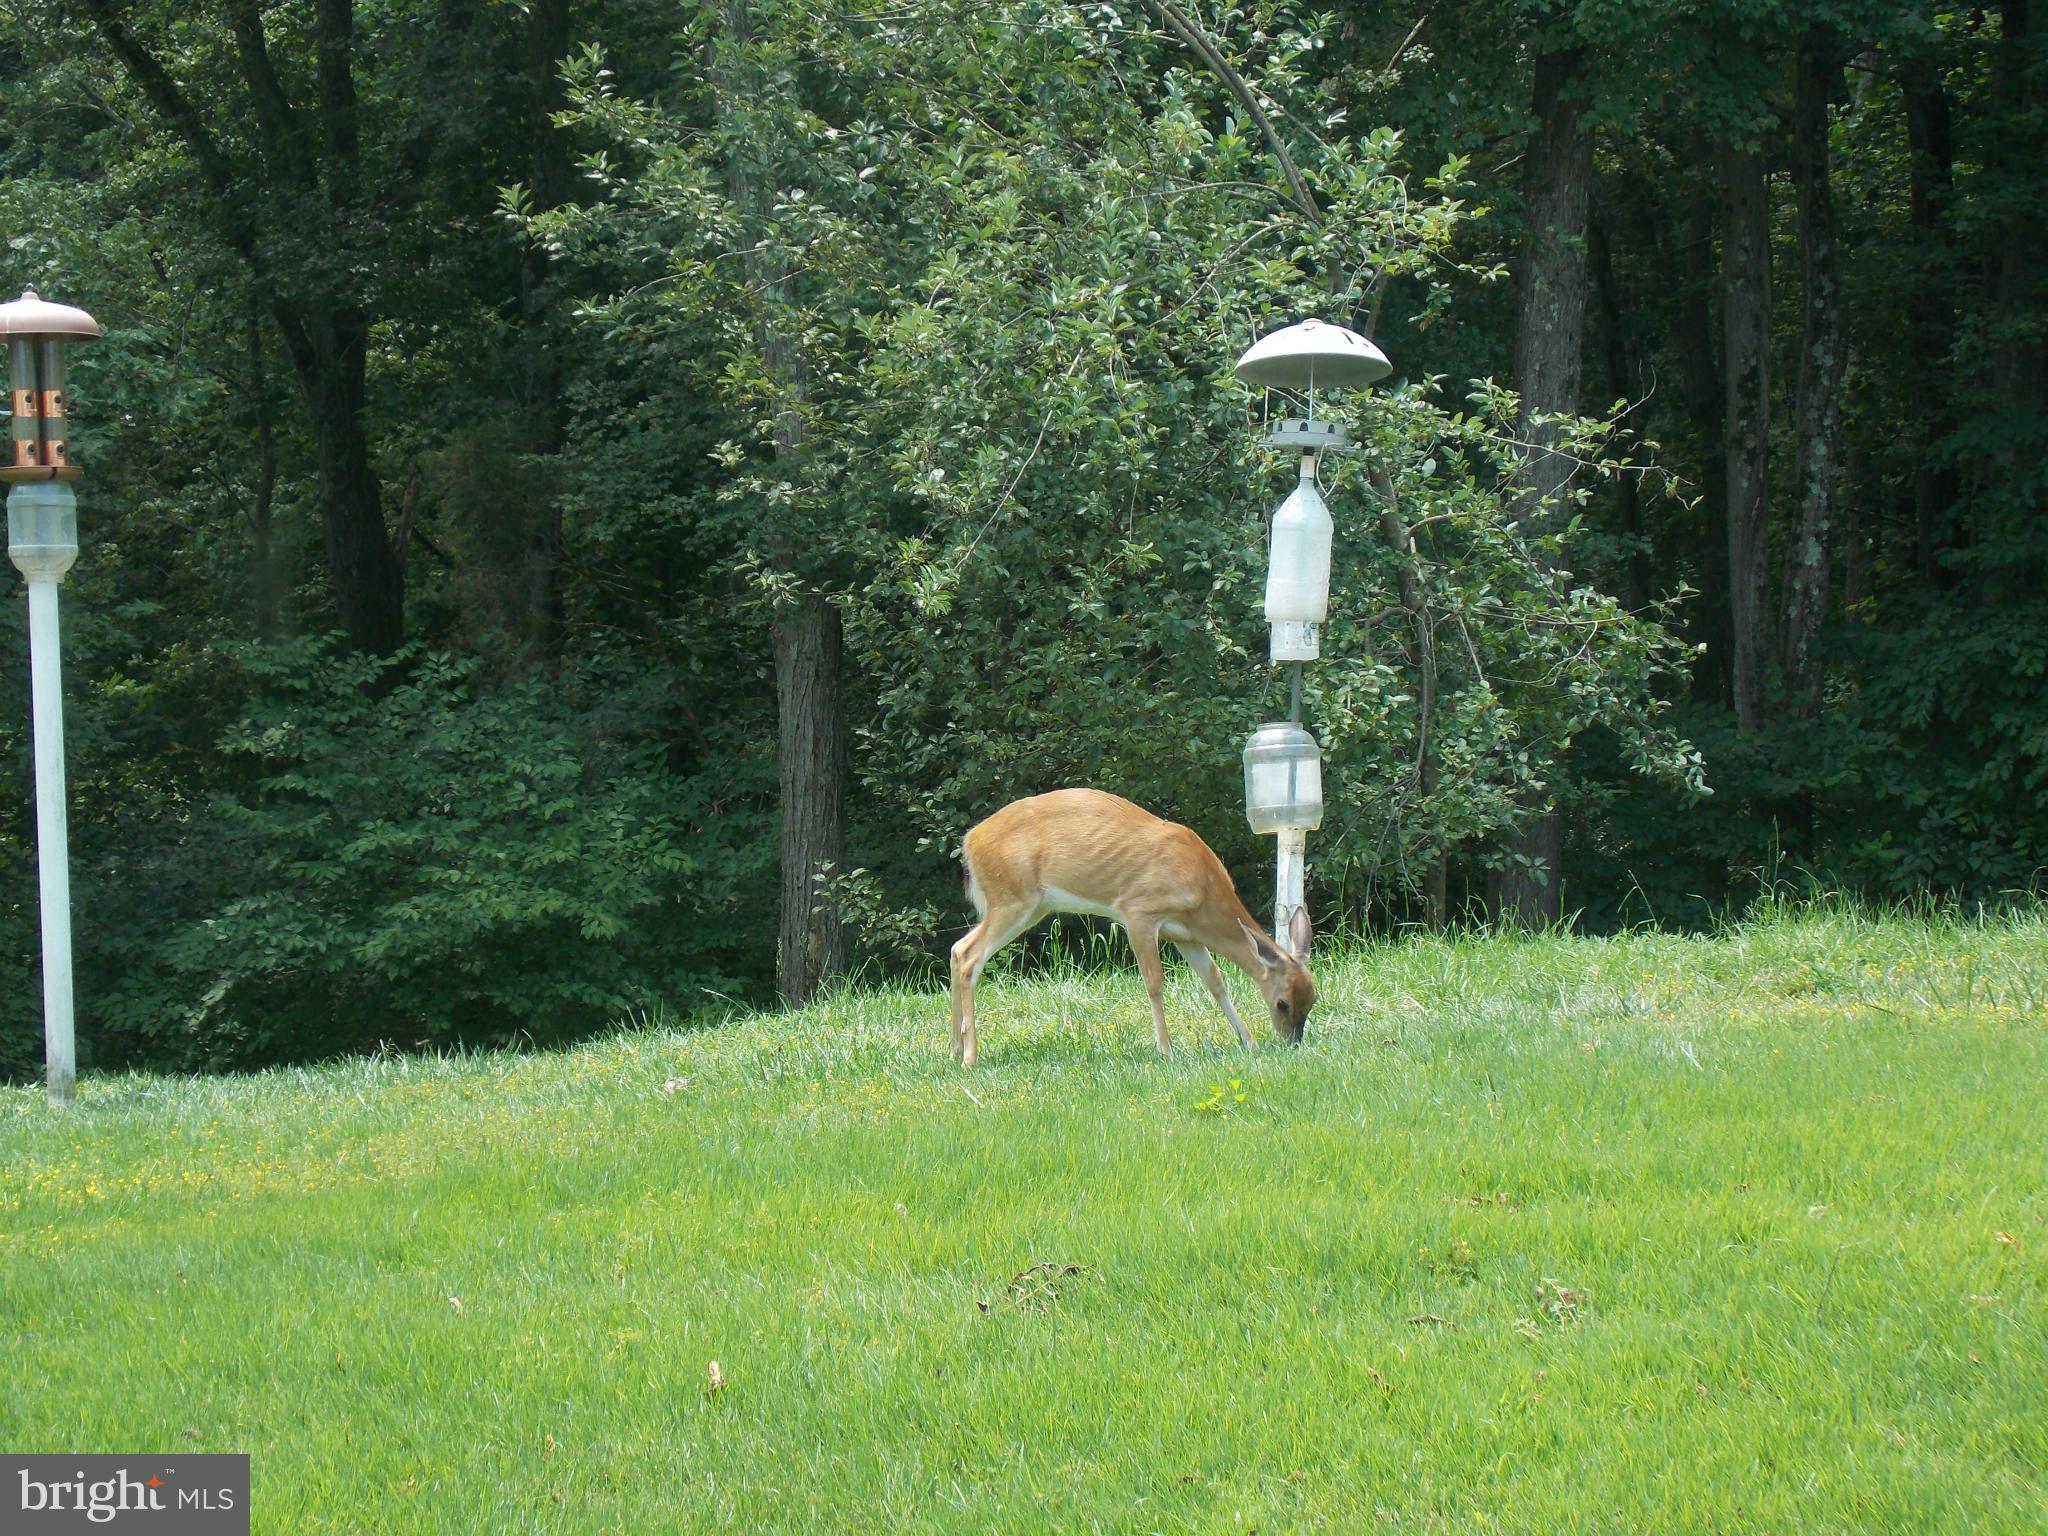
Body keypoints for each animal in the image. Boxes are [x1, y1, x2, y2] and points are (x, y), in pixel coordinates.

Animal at [949, 788, 1316, 1067]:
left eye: (1312, 1001)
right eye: (1282, 1003)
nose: (1292, 1042)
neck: (1203, 886)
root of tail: (969, 843)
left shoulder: (1187, 934)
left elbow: (1215, 981)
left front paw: (1248, 1041)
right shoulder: (1138, 912)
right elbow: (1154, 982)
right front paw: (1166, 1051)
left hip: (1029, 905)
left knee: (957, 948)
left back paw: (953, 1050)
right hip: (1011, 897)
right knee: (970, 957)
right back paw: (970, 1057)